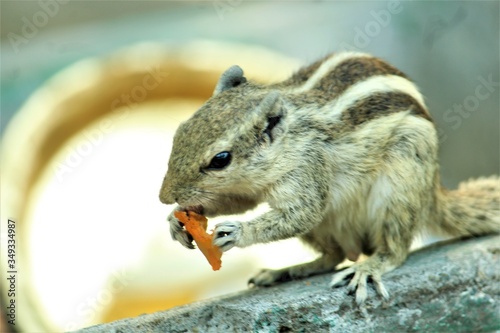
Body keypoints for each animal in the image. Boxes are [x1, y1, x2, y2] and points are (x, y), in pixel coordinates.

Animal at [160, 51, 500, 304]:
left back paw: (367, 268)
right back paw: (288, 270)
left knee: (395, 249)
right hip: (327, 227)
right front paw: (177, 221)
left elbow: (301, 213)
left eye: (221, 160)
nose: (164, 197)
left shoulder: (308, 170)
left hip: (400, 188)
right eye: (180, 132)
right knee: (333, 256)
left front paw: (236, 232)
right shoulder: (249, 188)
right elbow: (239, 202)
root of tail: (433, 191)